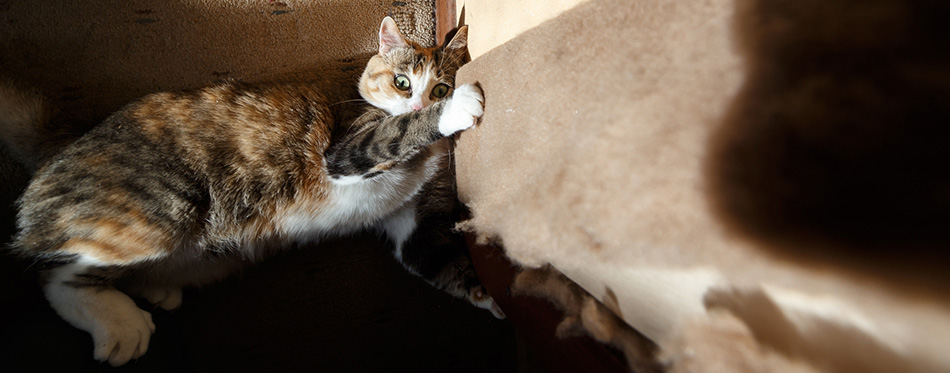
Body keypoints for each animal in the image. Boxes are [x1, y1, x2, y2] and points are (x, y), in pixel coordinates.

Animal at [0, 16, 502, 364]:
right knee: (54, 274)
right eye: (402, 82)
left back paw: (156, 290)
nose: (419, 102)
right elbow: (395, 133)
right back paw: (121, 327)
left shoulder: (412, 222)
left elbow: (438, 258)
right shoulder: (346, 150)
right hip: (162, 212)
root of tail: (67, 142)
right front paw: (457, 108)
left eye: (438, 85)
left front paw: (497, 301)